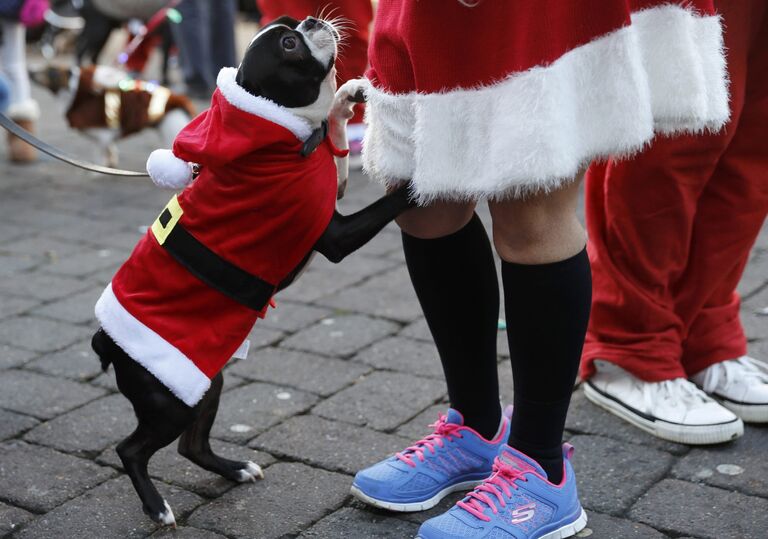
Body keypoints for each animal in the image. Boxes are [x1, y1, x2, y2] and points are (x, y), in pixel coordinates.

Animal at [89, 16, 412, 528]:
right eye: (290, 43)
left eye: (290, 28)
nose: (311, 20)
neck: (285, 139)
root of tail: (106, 340)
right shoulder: (334, 235)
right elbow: (387, 202)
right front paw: (423, 180)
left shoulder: (332, 182)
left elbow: (336, 139)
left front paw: (347, 97)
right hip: (167, 401)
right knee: (132, 449)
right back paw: (157, 507)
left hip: (203, 384)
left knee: (192, 445)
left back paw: (235, 469)